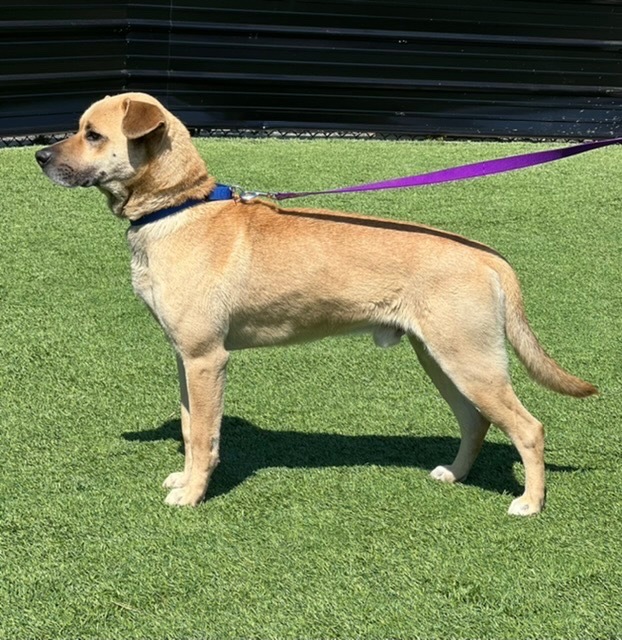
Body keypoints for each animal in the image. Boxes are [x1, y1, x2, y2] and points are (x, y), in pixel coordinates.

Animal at [35, 91, 600, 516]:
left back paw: (530, 502)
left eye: (93, 134)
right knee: (475, 421)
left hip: (470, 359)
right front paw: (185, 478)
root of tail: (488, 257)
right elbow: (191, 425)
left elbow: (203, 436)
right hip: (443, 358)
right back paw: (455, 474)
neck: (178, 207)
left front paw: (193, 494)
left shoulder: (206, 358)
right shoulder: (185, 358)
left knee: (529, 428)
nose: (39, 155)